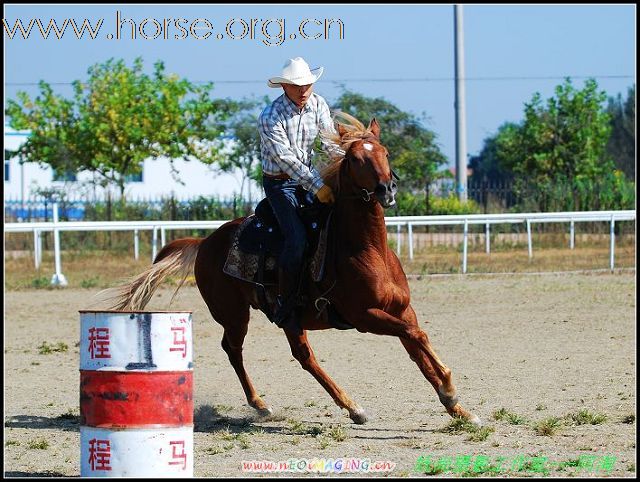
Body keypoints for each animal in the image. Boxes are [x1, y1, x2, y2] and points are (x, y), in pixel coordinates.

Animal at [107, 113, 480, 426]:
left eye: (385, 152)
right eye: (355, 158)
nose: (386, 190)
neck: (367, 249)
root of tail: (206, 241)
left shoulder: (403, 310)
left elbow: (417, 345)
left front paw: (457, 408)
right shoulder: (365, 317)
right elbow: (418, 337)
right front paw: (450, 387)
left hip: (289, 319)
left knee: (302, 356)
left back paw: (348, 407)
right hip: (235, 313)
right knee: (235, 349)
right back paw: (269, 404)